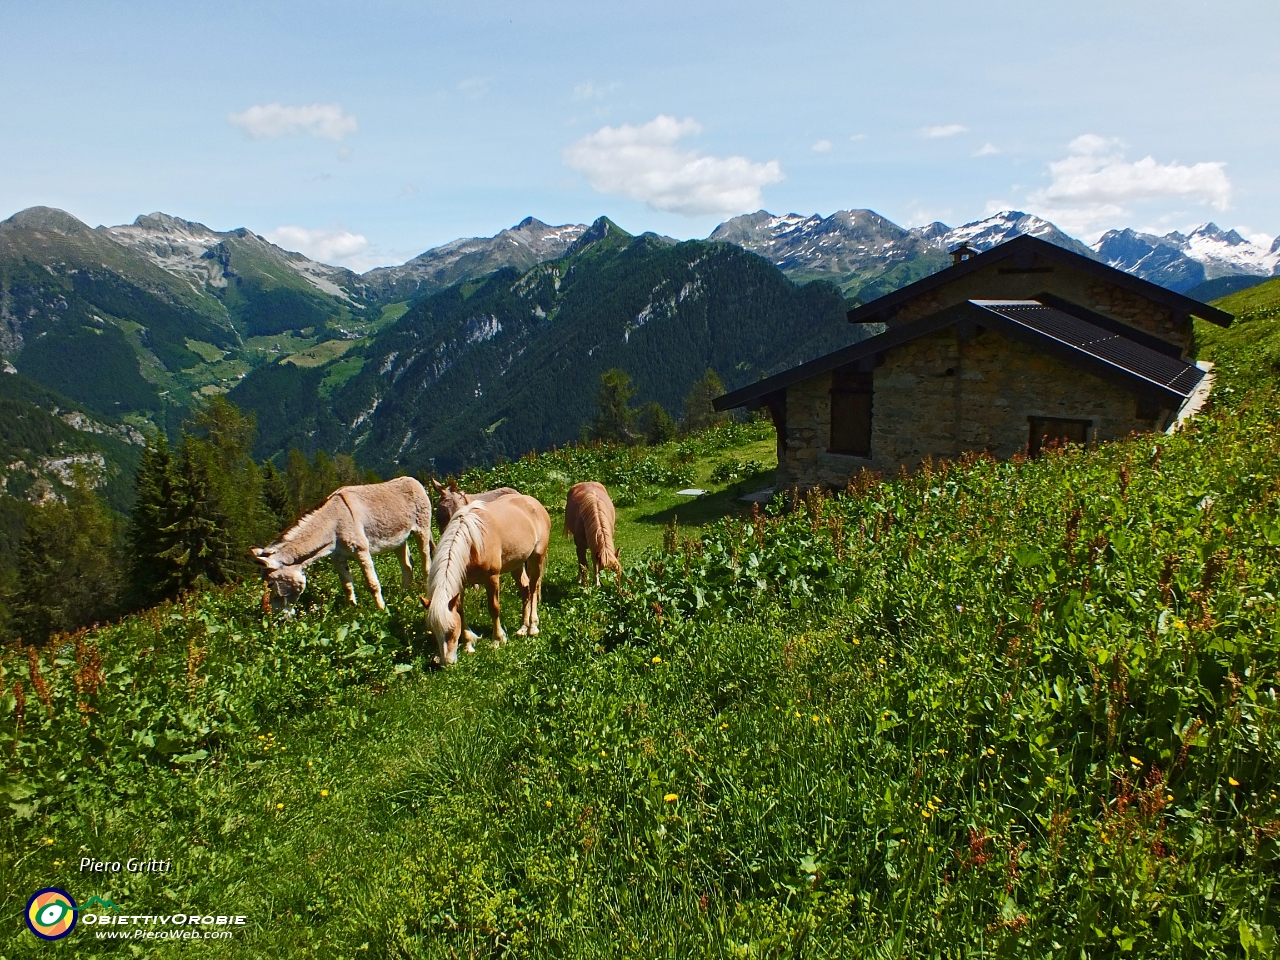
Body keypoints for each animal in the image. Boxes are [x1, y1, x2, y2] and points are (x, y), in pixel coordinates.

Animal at [249, 476, 435, 616]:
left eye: (270, 584)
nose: (275, 618)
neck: (334, 524)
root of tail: (412, 480)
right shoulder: (337, 558)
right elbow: (347, 586)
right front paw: (352, 611)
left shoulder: (362, 552)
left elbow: (372, 584)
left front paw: (381, 611)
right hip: (399, 540)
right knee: (407, 566)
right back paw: (403, 595)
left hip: (422, 530)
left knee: (426, 561)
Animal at [424, 491, 550, 665]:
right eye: (434, 632)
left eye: (451, 630)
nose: (447, 663)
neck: (471, 543)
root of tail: (534, 502)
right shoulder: (461, 583)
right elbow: (461, 610)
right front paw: (468, 644)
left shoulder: (492, 578)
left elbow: (494, 608)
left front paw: (497, 640)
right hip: (517, 564)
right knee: (525, 590)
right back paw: (523, 628)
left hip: (536, 558)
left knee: (533, 589)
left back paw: (533, 627)